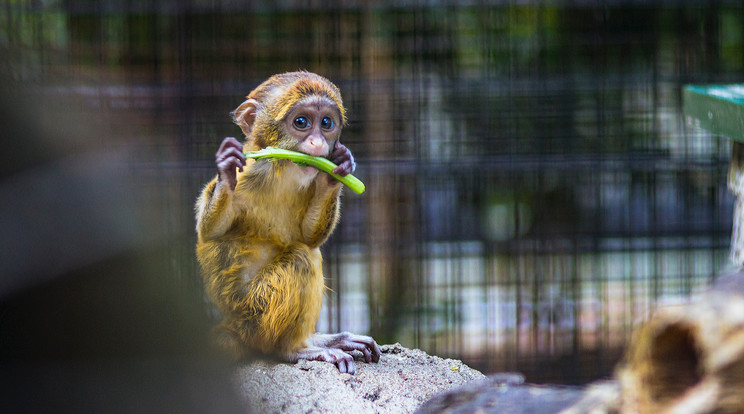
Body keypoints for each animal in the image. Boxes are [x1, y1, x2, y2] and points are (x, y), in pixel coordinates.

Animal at [195, 69, 380, 374]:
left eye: (326, 123)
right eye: (301, 122)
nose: (318, 143)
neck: (282, 170)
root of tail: (234, 327)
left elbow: (308, 237)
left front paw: (337, 170)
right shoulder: (250, 173)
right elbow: (210, 232)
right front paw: (226, 172)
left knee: (308, 251)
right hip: (255, 315)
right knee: (301, 258)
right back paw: (292, 349)